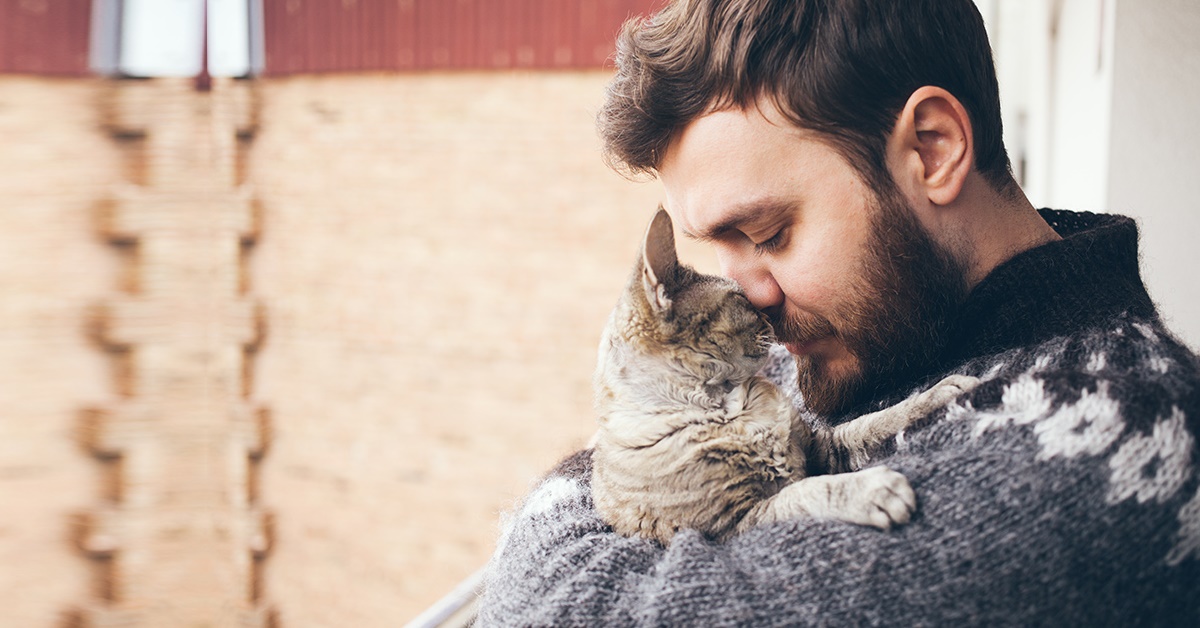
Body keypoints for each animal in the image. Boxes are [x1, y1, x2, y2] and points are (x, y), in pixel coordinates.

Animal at [590, 208, 974, 542]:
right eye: (742, 299)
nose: (768, 315)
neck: (729, 406)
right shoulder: (734, 524)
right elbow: (807, 491)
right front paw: (872, 489)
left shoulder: (822, 447)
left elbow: (876, 421)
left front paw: (942, 392)